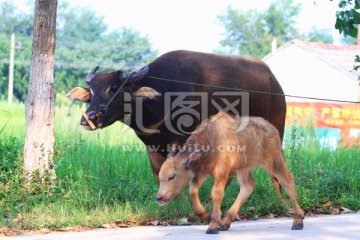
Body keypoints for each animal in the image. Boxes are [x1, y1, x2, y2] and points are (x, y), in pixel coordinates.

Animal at [68, 50, 286, 182]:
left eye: (114, 88)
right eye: (91, 90)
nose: (88, 118)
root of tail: (275, 82)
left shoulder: (181, 141)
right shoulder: (152, 146)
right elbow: (159, 172)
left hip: (277, 129)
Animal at [155, 112, 304, 234]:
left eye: (172, 176)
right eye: (160, 177)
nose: (159, 197)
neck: (210, 140)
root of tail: (272, 128)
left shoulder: (222, 171)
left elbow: (216, 193)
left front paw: (213, 225)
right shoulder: (202, 172)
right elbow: (192, 190)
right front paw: (205, 215)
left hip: (274, 162)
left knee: (288, 181)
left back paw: (298, 220)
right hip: (243, 168)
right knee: (247, 187)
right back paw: (226, 222)